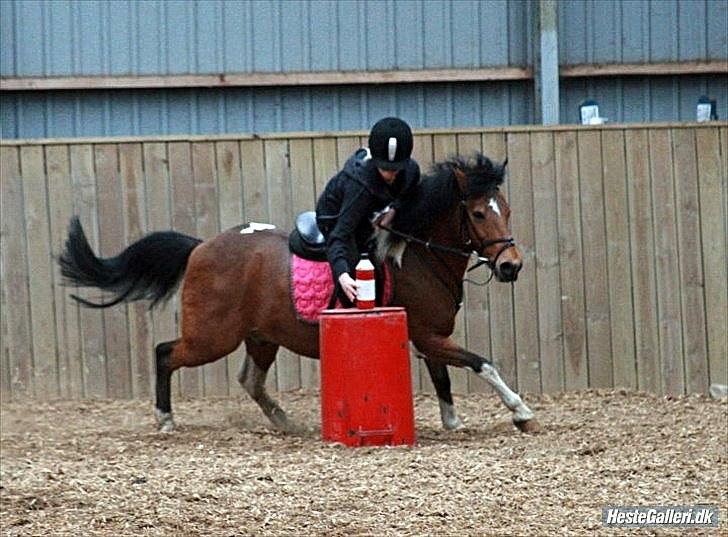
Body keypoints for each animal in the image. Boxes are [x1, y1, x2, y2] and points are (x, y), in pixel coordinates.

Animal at [59, 152, 540, 436]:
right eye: (478, 213)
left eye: (507, 209)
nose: (511, 266)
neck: (417, 254)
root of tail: (200, 246)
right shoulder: (429, 336)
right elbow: (482, 364)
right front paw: (520, 411)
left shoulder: (429, 337)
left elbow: (444, 377)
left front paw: (453, 421)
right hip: (212, 337)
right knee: (165, 353)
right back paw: (164, 419)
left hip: (260, 336)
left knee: (250, 380)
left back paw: (284, 421)